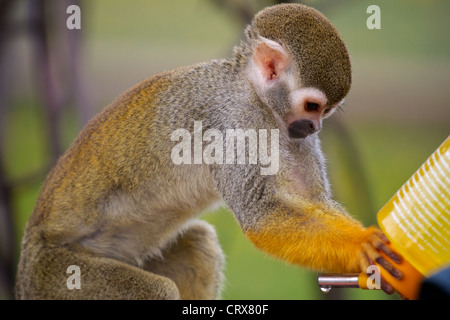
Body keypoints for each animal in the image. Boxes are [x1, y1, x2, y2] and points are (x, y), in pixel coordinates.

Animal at [14, 3, 400, 298]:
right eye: (311, 106)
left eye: (326, 112)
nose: (314, 128)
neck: (254, 94)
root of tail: (25, 267)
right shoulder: (234, 121)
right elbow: (262, 215)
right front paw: (361, 245)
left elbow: (311, 199)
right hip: (58, 275)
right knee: (154, 289)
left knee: (199, 244)